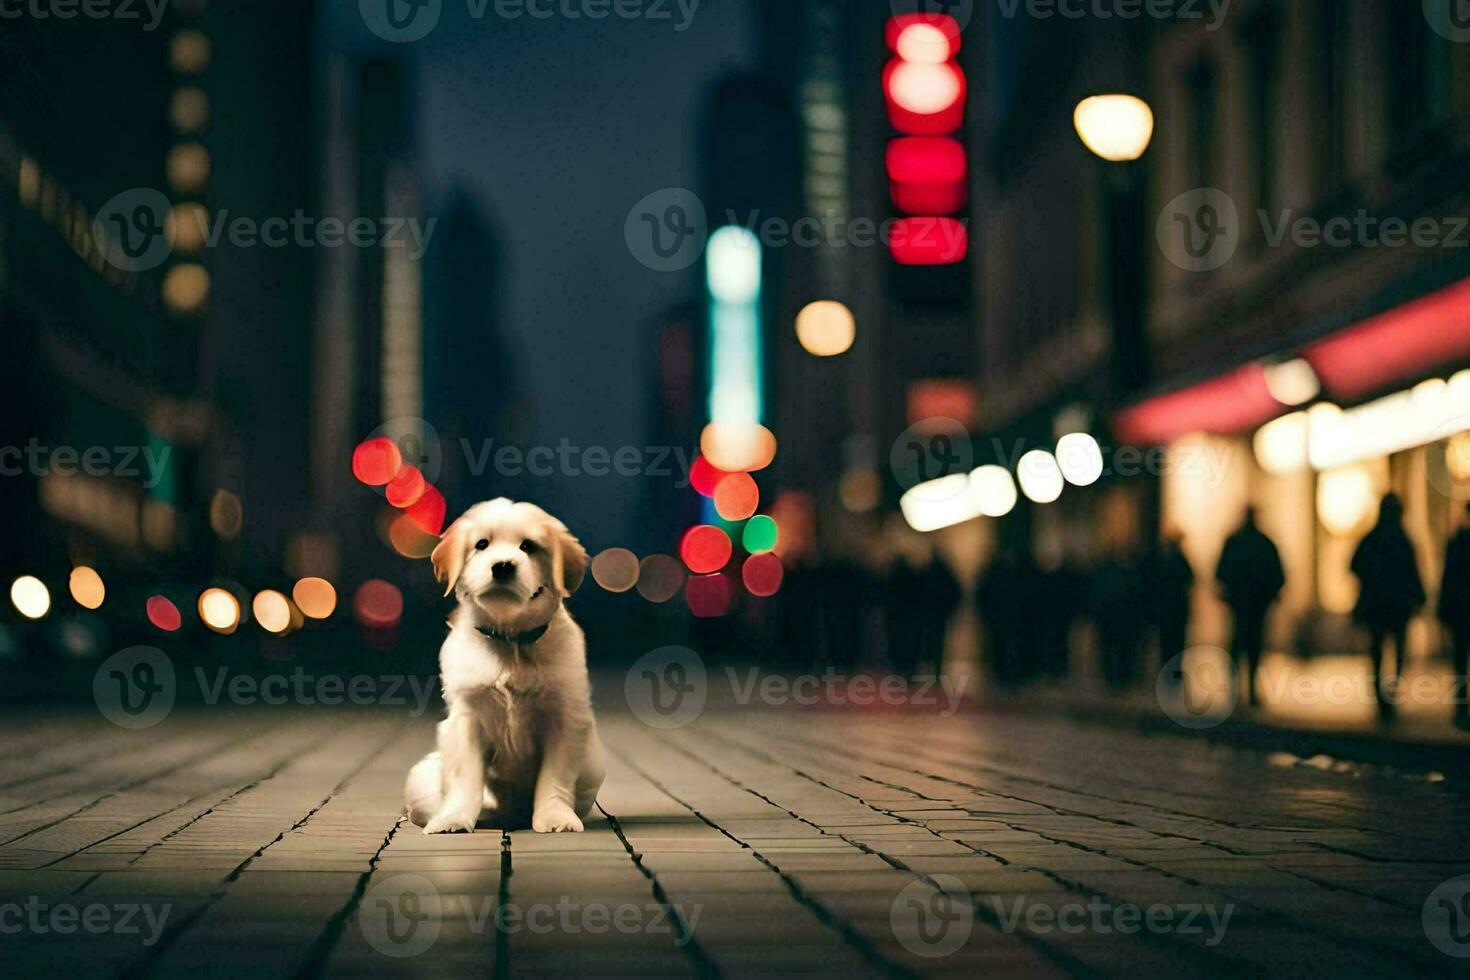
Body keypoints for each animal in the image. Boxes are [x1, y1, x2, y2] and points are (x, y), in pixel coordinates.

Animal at [402, 499, 602, 834]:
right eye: (481, 545)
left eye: (529, 546)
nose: (503, 565)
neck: (511, 640)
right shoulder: (466, 719)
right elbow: (465, 777)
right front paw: (454, 818)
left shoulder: (566, 719)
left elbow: (556, 777)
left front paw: (555, 816)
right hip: (422, 776)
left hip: (593, 763)